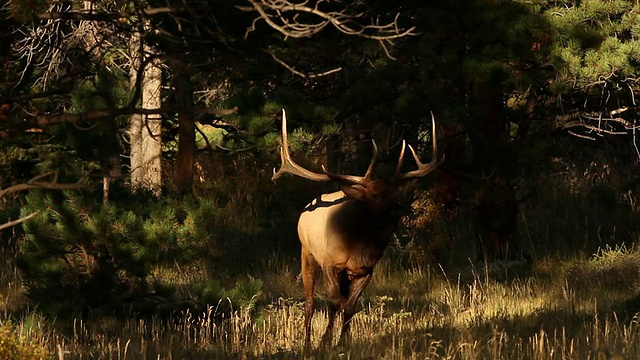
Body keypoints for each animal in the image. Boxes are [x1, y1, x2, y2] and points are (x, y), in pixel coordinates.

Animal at [270, 110, 440, 348]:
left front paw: (342, 342)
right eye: (375, 194)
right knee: (310, 302)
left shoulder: (366, 271)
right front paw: (325, 341)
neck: (358, 245)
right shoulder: (331, 263)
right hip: (307, 253)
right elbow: (332, 302)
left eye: (396, 193)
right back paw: (306, 343)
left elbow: (350, 307)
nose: (400, 208)